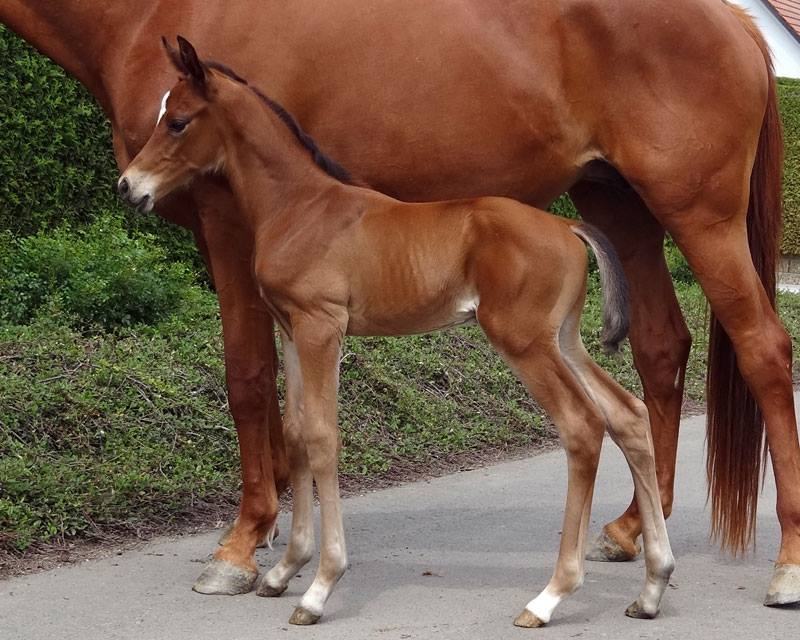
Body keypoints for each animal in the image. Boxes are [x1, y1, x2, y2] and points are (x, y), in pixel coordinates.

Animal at [119, 38, 672, 624]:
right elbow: (295, 434)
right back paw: (651, 586)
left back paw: (549, 596)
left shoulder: (322, 326)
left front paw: (319, 588)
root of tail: (568, 224)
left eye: (177, 121)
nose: (128, 186)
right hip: (563, 339)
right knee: (627, 414)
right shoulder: (292, 328)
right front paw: (283, 571)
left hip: (524, 342)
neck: (299, 206)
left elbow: (322, 436)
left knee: (583, 427)